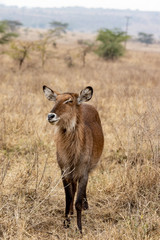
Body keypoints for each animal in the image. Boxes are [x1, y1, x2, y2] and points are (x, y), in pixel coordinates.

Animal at [43, 85, 104, 232]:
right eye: (55, 100)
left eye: (69, 101)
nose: (50, 116)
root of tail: (86, 103)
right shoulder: (64, 172)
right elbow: (68, 198)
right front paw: (66, 223)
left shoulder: (83, 173)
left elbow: (77, 202)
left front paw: (79, 228)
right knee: (73, 191)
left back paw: (85, 206)